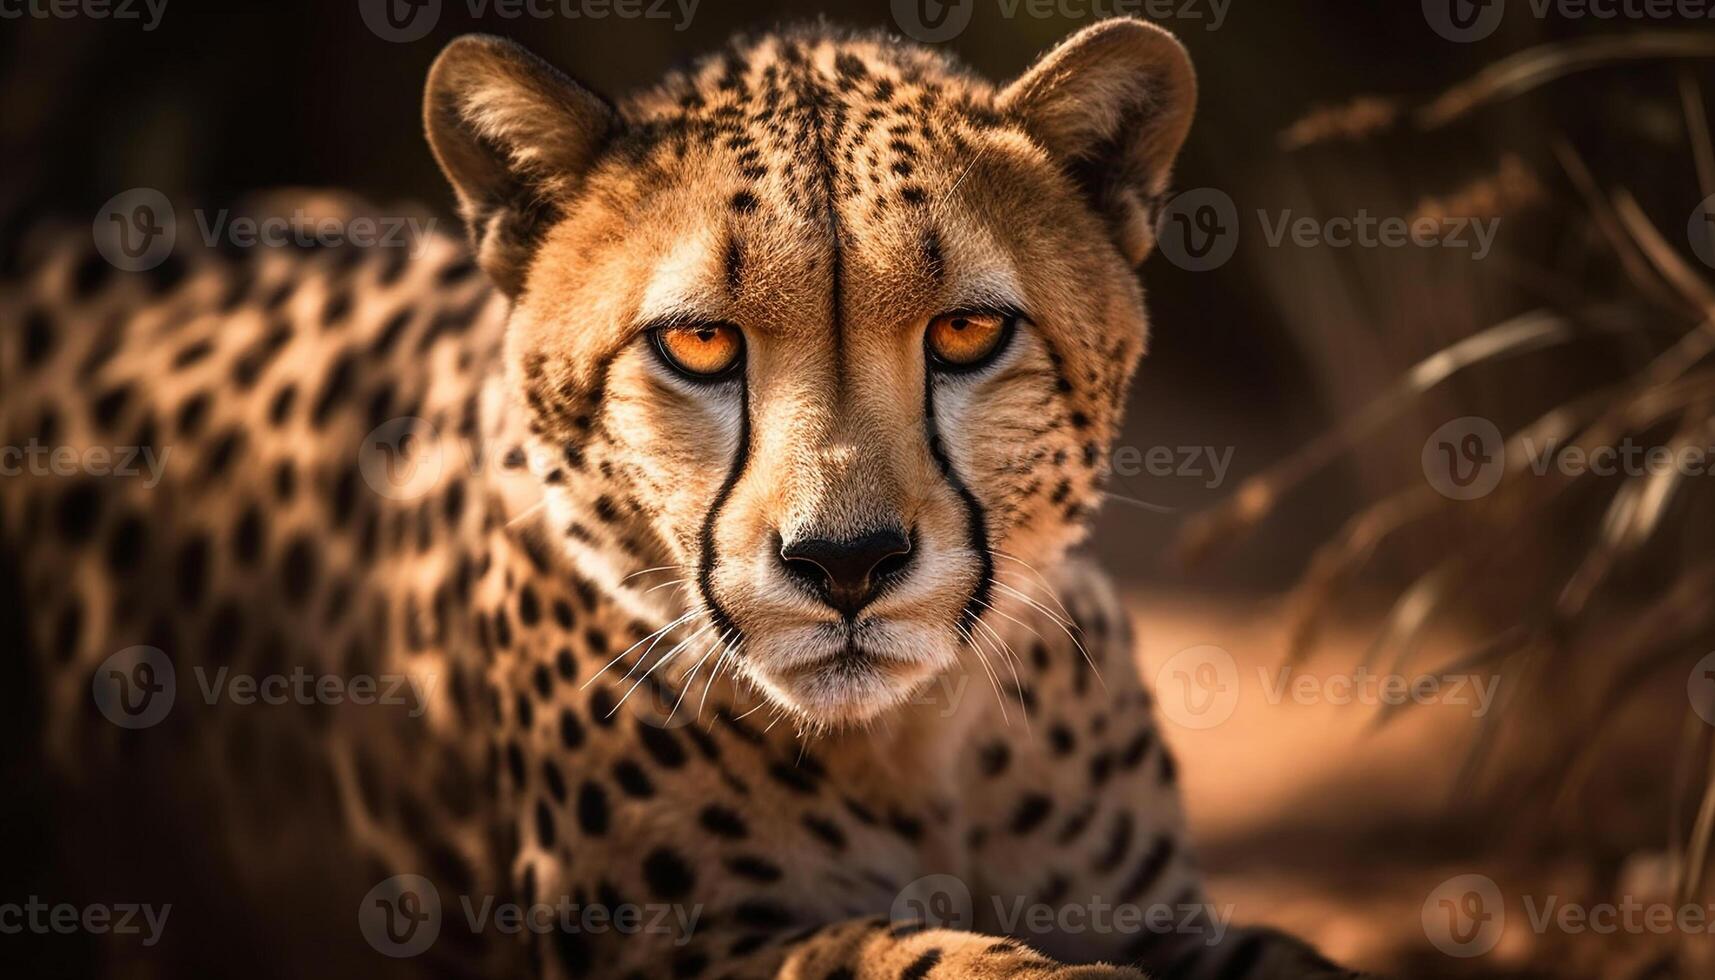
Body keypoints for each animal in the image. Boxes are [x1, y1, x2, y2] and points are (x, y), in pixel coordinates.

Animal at [0, 15, 1365, 980]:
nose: (847, 563)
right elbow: (898, 951)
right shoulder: (674, 947)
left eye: (968, 331)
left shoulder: (1163, 916)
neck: (915, 744)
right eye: (700, 344)